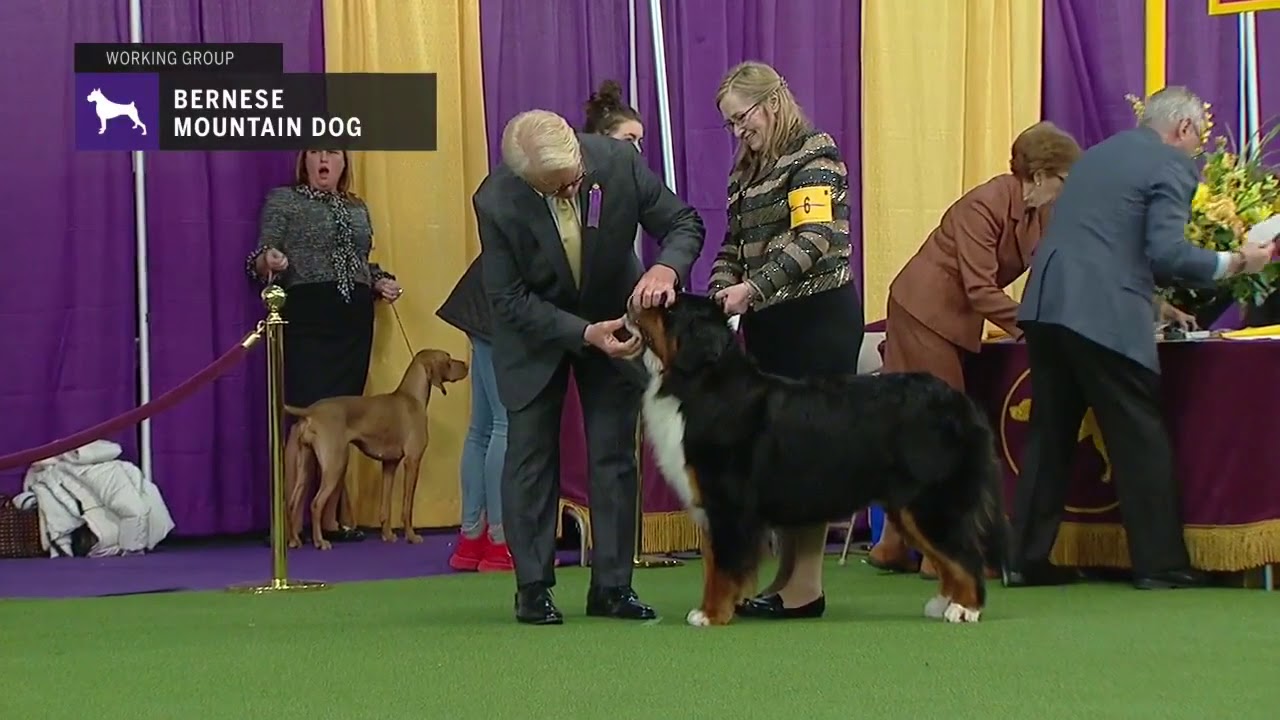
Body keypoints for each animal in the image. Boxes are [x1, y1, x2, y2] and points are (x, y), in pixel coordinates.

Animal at [282, 348, 468, 548]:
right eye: (448, 359)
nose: (467, 365)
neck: (411, 397)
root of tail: (311, 411)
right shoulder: (412, 461)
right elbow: (407, 507)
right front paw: (411, 536)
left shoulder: (390, 464)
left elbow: (385, 507)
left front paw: (388, 535)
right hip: (336, 464)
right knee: (316, 504)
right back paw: (320, 541)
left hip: (306, 466)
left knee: (292, 503)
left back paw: (294, 540)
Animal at [624, 294, 1003, 625]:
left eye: (669, 308)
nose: (636, 298)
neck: (700, 384)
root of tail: (961, 402)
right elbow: (712, 565)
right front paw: (709, 609)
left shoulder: (728, 505)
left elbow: (722, 568)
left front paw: (711, 615)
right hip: (908, 506)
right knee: (949, 559)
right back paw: (943, 604)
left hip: (930, 503)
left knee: (966, 556)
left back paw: (965, 609)